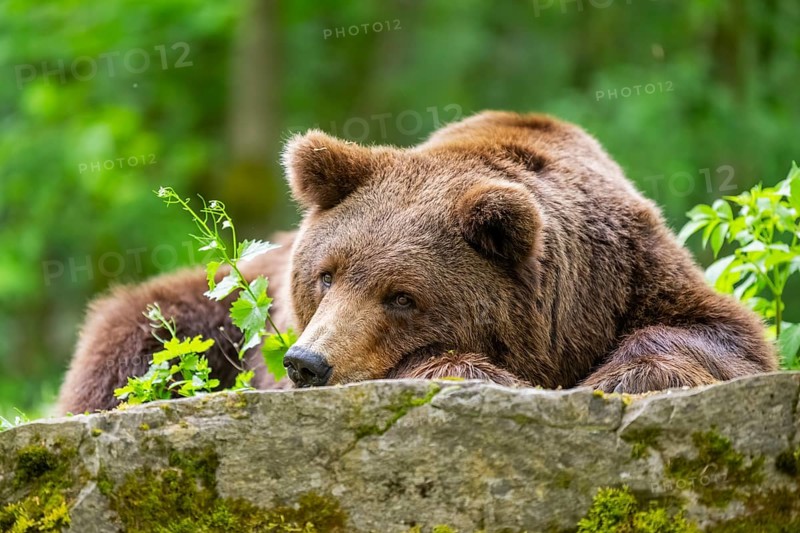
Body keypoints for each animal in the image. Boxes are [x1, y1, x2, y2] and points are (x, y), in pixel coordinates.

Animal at [56, 111, 777, 414]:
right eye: (326, 274)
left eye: (403, 295)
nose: (308, 363)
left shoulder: (632, 273)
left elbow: (714, 335)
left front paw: (622, 378)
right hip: (210, 311)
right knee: (131, 341)